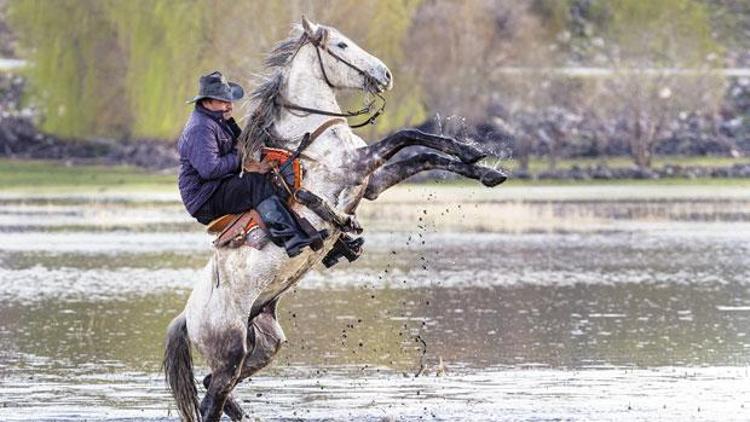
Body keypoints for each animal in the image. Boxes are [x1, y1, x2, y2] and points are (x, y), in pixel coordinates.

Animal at [164, 17, 506, 422]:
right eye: (341, 46)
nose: (385, 74)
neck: (309, 132)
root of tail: (187, 317)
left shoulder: (371, 182)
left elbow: (422, 154)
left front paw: (482, 166)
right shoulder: (357, 166)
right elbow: (408, 135)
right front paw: (472, 152)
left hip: (263, 342)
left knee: (210, 388)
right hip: (231, 351)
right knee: (213, 398)